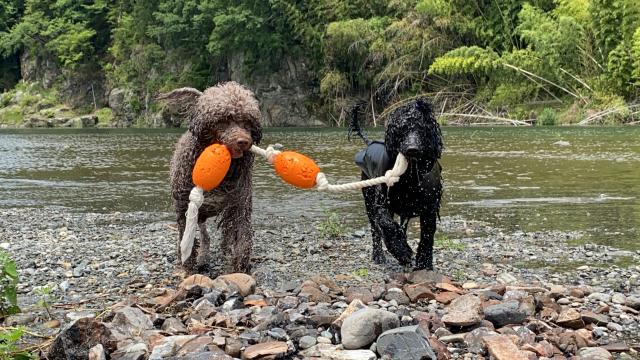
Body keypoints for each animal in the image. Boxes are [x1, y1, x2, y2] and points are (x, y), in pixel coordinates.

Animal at [160, 81, 262, 272]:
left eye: (247, 121)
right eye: (224, 120)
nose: (243, 141)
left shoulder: (239, 203)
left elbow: (242, 235)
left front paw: (240, 265)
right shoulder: (184, 205)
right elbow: (186, 235)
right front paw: (189, 264)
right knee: (204, 235)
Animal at [348, 98, 442, 270]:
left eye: (422, 128)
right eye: (401, 129)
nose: (412, 149)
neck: (410, 178)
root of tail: (370, 143)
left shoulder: (430, 208)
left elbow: (427, 236)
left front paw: (424, 264)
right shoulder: (382, 204)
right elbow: (388, 226)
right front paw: (402, 252)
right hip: (368, 199)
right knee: (375, 230)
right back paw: (378, 255)